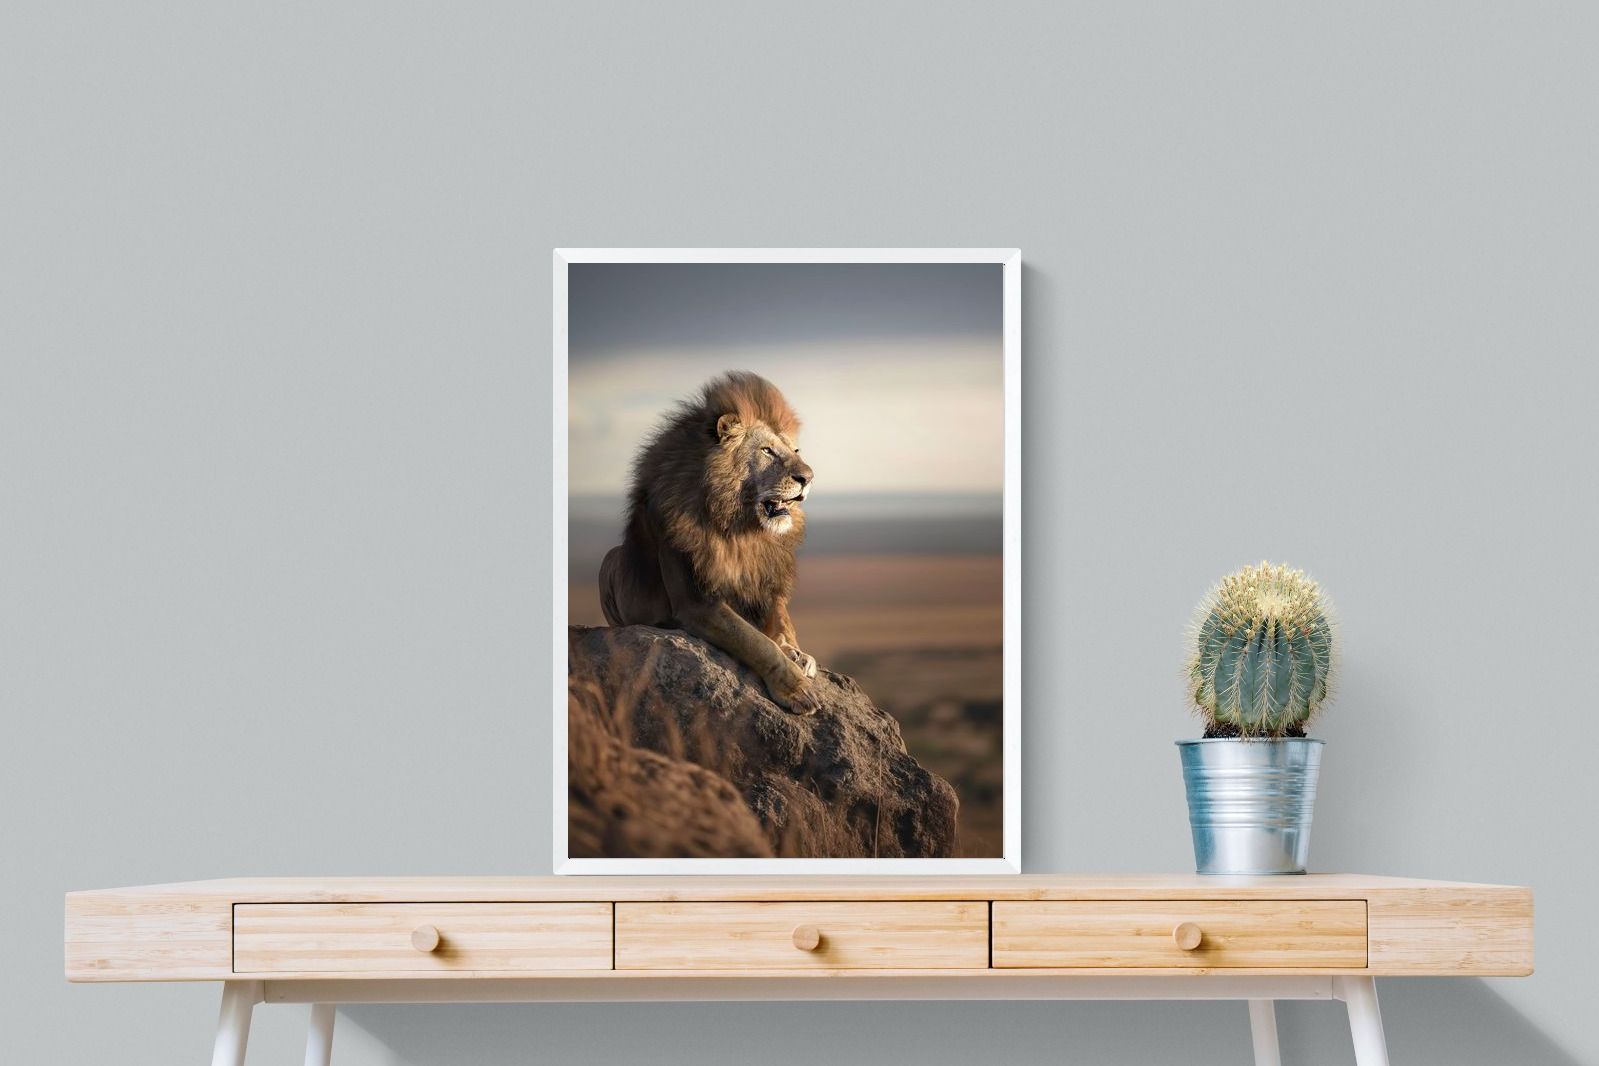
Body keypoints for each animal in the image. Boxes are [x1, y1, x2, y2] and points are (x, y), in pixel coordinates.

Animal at [598, 371, 822, 714]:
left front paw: (797, 653)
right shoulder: (696, 603)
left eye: (795, 452)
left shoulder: (767, 581)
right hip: (609, 561)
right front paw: (796, 688)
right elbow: (755, 641)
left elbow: (781, 623)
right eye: (767, 451)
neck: (741, 526)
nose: (808, 478)